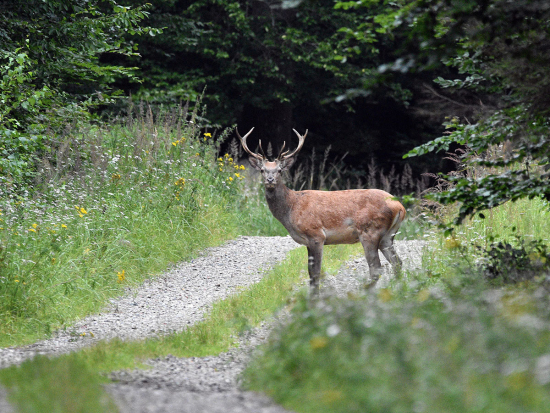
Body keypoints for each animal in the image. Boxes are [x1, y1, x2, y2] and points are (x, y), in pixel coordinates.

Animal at [239, 128, 408, 292]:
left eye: (280, 170)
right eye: (262, 170)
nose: (270, 180)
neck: (291, 208)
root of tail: (400, 207)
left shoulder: (316, 234)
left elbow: (315, 273)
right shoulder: (307, 241)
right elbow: (310, 273)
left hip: (370, 231)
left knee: (376, 268)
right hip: (387, 236)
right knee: (397, 262)